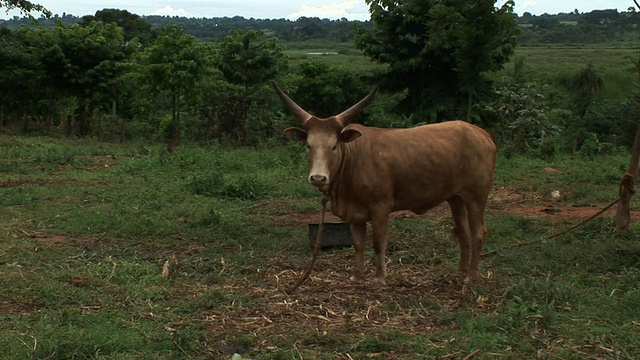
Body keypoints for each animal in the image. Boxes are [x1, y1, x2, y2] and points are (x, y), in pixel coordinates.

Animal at [276, 83, 496, 284]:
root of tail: (482, 134)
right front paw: (356, 276)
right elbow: (358, 243)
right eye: (308, 145)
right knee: (463, 233)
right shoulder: (355, 213)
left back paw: (471, 277)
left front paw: (380, 277)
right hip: (455, 198)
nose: (318, 178)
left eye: (334, 146)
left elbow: (378, 242)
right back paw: (461, 272)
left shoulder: (380, 207)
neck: (353, 160)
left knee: (478, 233)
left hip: (476, 196)